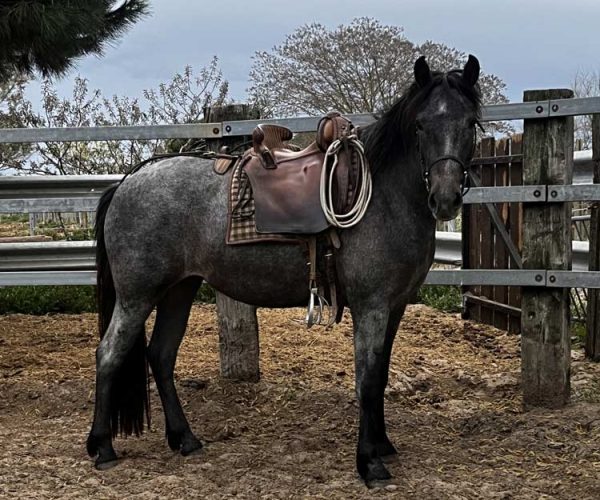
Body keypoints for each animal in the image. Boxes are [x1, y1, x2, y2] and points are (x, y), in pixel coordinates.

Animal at [86, 54, 482, 484]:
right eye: (420, 125)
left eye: (469, 123)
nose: (445, 198)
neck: (383, 197)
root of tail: (126, 184)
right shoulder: (372, 307)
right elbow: (367, 380)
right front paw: (369, 461)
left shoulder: (395, 308)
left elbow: (380, 377)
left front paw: (383, 445)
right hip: (137, 297)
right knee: (109, 353)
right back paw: (102, 447)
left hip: (180, 290)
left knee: (160, 355)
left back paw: (184, 438)